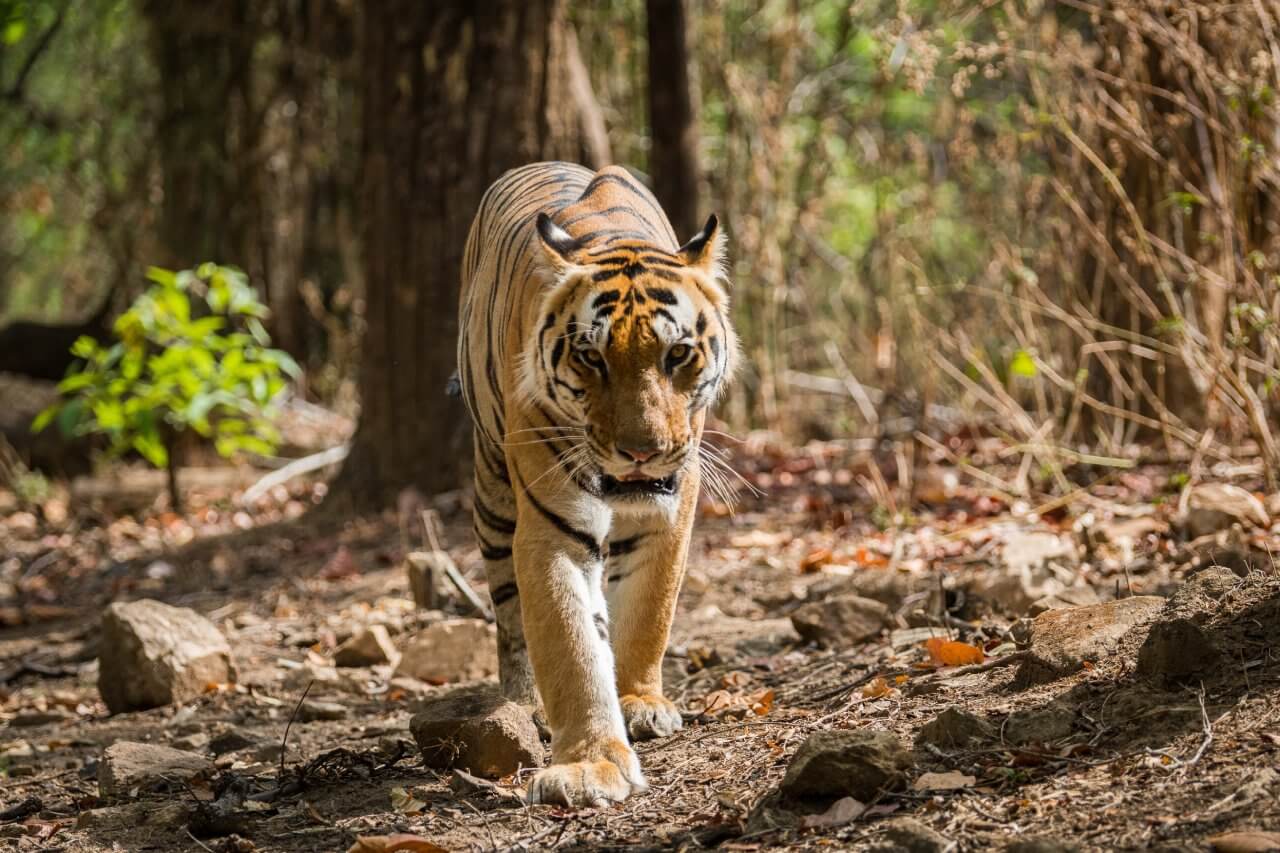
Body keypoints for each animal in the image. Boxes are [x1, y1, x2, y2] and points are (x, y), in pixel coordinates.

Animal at [458, 161, 742, 804]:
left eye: (677, 354)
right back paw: (523, 705)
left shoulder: (671, 510)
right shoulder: (552, 528)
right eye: (591, 357)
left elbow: (647, 612)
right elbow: (569, 646)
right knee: (509, 617)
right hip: (492, 494)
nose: (641, 452)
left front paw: (638, 701)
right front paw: (590, 765)